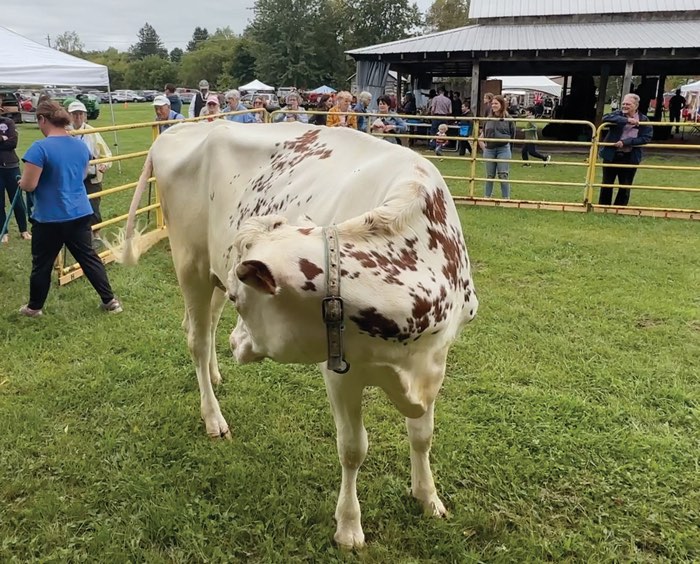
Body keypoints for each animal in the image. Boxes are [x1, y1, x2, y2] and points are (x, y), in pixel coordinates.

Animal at [115, 121, 478, 548]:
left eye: (241, 297)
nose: (237, 343)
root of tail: (183, 127)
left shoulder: (437, 358)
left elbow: (422, 435)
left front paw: (428, 497)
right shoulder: (340, 370)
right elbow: (353, 448)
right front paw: (349, 526)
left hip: (212, 270)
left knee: (203, 327)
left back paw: (217, 373)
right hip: (190, 262)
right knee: (197, 340)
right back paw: (213, 417)